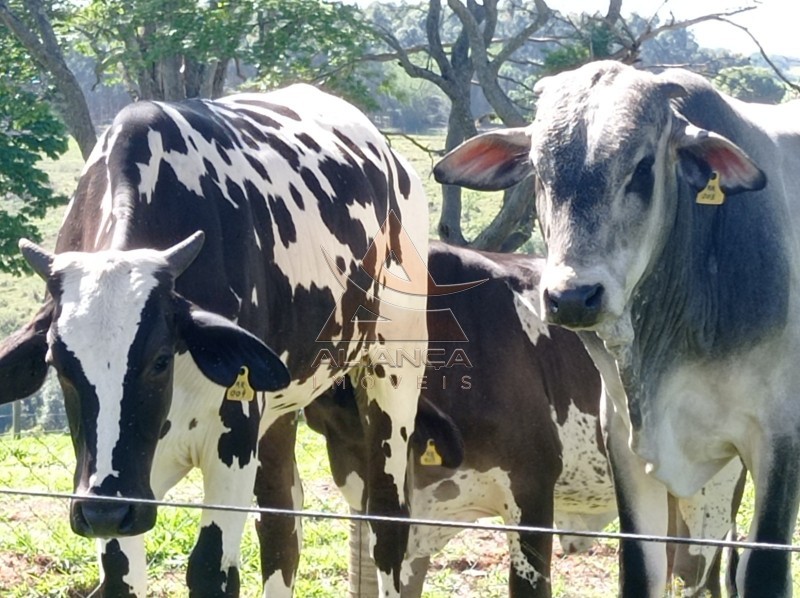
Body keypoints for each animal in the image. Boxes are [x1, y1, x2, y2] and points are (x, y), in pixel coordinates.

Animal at [0, 85, 428, 598]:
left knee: (387, 521)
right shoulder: (123, 488)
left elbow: (210, 570)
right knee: (281, 529)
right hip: (278, 410)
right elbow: (122, 575)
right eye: (59, 364)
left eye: (160, 360)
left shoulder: (233, 441)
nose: (103, 509)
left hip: (393, 375)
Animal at [438, 59, 800, 596]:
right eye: (539, 170)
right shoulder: (627, 446)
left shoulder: (778, 441)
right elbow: (642, 571)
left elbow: (760, 573)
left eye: (644, 167)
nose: (572, 296)